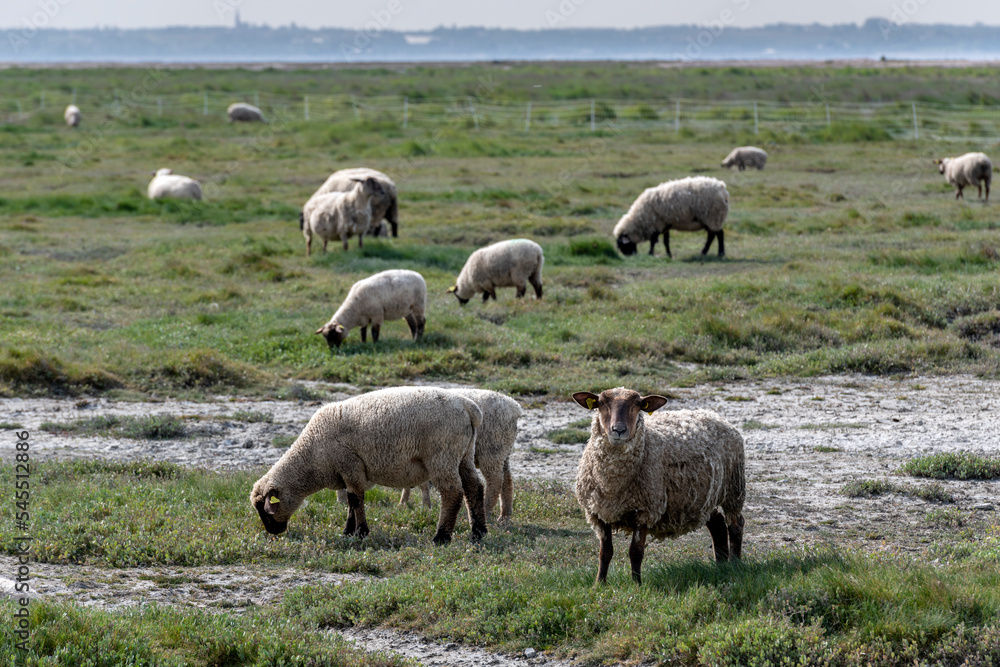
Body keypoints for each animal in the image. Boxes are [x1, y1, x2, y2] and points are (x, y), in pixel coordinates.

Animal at [398, 388, 524, 524]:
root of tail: (513, 406)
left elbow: (423, 485)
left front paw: (424, 506)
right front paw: (403, 503)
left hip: (491, 449)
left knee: (495, 480)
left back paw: (487, 511)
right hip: (502, 451)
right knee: (507, 480)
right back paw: (504, 516)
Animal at [572, 386, 744, 584]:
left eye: (638, 405)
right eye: (600, 404)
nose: (619, 430)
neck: (612, 485)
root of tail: (714, 415)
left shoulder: (645, 511)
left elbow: (635, 552)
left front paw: (636, 584)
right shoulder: (598, 513)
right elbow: (605, 552)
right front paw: (599, 583)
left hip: (733, 490)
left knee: (735, 525)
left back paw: (734, 565)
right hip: (703, 498)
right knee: (718, 525)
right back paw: (720, 565)